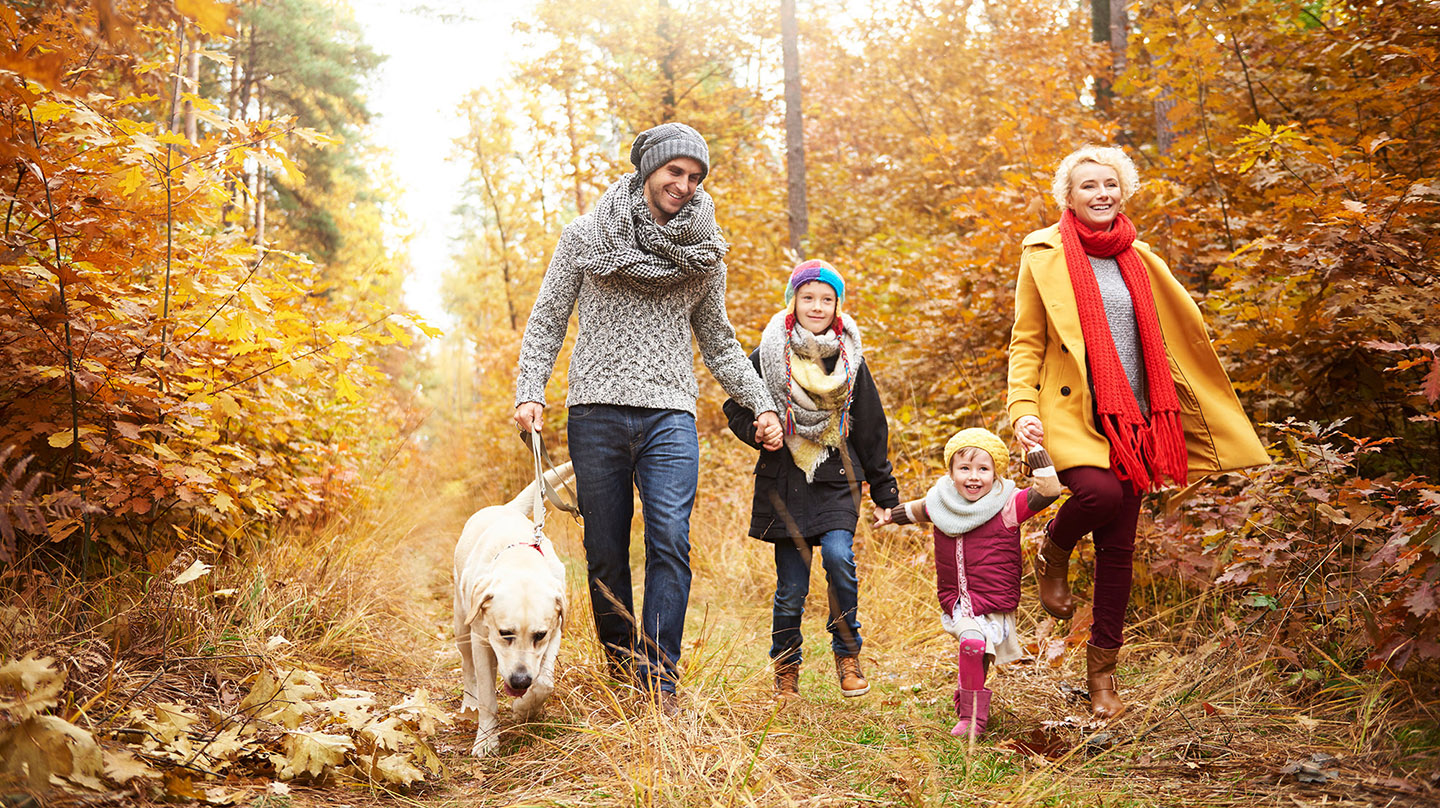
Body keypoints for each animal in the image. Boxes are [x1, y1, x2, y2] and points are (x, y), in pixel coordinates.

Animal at [457, 460, 576, 754]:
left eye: (539, 635)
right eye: (505, 633)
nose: (520, 681)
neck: (521, 561)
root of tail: (505, 508)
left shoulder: (555, 632)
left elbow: (544, 682)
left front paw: (526, 709)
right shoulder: (481, 638)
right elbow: (488, 694)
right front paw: (486, 738)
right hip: (461, 625)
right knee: (467, 667)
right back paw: (470, 703)